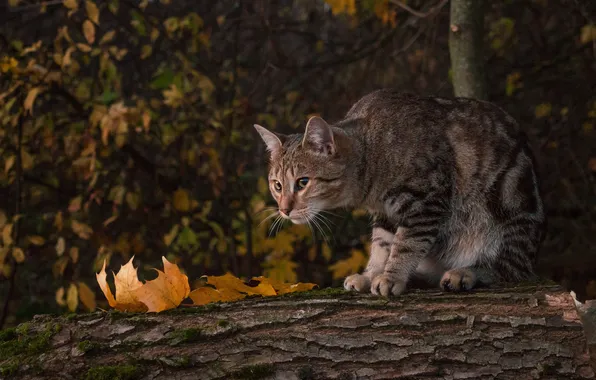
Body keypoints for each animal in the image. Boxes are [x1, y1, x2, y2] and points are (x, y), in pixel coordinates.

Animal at [251, 90, 544, 296]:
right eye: (277, 185)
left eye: (302, 182)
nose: (284, 209)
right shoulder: (386, 213)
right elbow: (382, 245)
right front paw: (372, 274)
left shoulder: (426, 201)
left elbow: (406, 244)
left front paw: (392, 277)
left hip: (508, 211)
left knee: (510, 269)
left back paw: (466, 273)